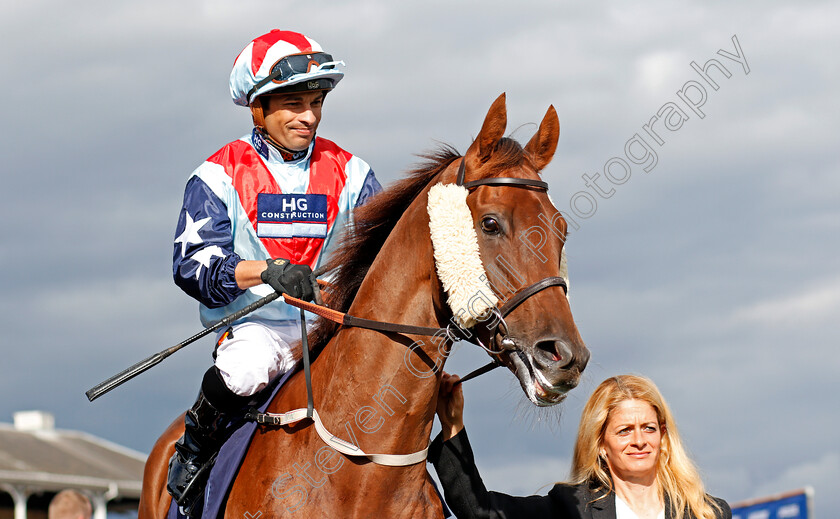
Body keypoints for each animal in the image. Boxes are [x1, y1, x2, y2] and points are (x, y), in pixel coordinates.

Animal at [141, 94, 588, 519]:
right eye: (490, 223)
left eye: (561, 230)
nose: (565, 356)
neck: (364, 469)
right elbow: (195, 257)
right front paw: (286, 275)